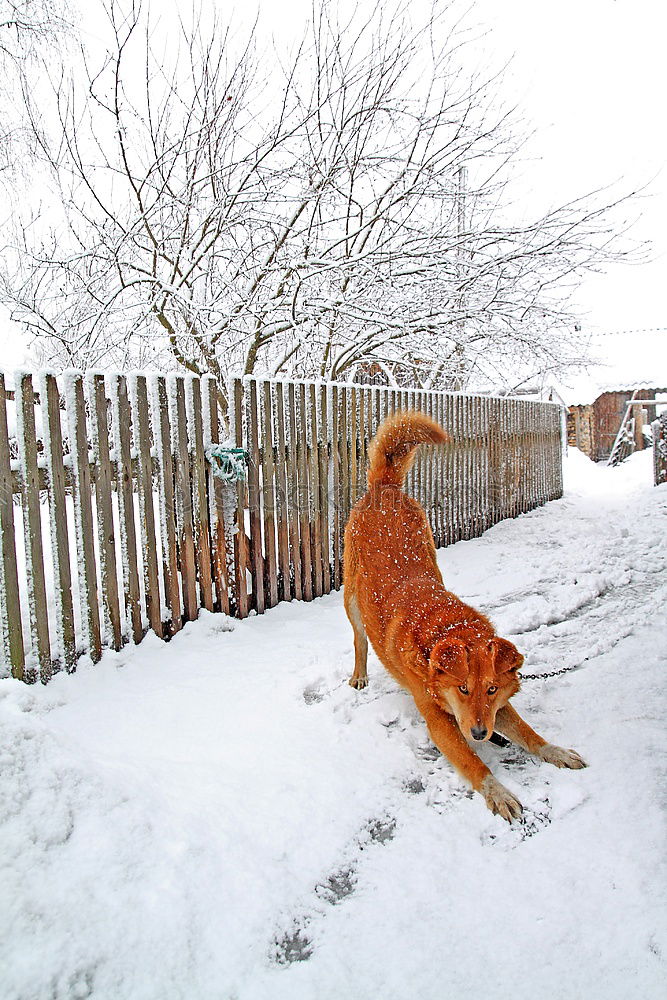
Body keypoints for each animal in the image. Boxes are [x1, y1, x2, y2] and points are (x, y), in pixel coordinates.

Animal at [342, 408, 588, 820]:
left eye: (490, 689)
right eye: (462, 688)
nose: (478, 735)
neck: (441, 631)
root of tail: (384, 488)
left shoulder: (493, 709)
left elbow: (528, 732)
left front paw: (553, 751)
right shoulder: (439, 721)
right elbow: (474, 764)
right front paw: (498, 792)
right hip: (352, 601)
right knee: (359, 639)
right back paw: (359, 675)